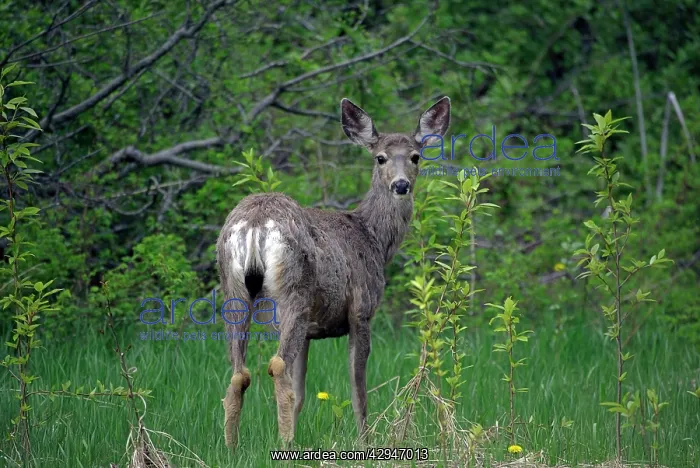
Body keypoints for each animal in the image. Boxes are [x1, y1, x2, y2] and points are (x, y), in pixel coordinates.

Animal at [216, 96, 451, 449]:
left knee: (238, 373)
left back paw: (232, 448)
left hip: (234, 290)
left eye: (415, 156)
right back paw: (283, 445)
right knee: (276, 366)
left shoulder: (311, 331)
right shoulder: (361, 311)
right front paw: (365, 441)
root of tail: (255, 223)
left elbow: (302, 394)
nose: (401, 185)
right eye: (380, 157)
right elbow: (358, 391)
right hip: (295, 289)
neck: (373, 238)